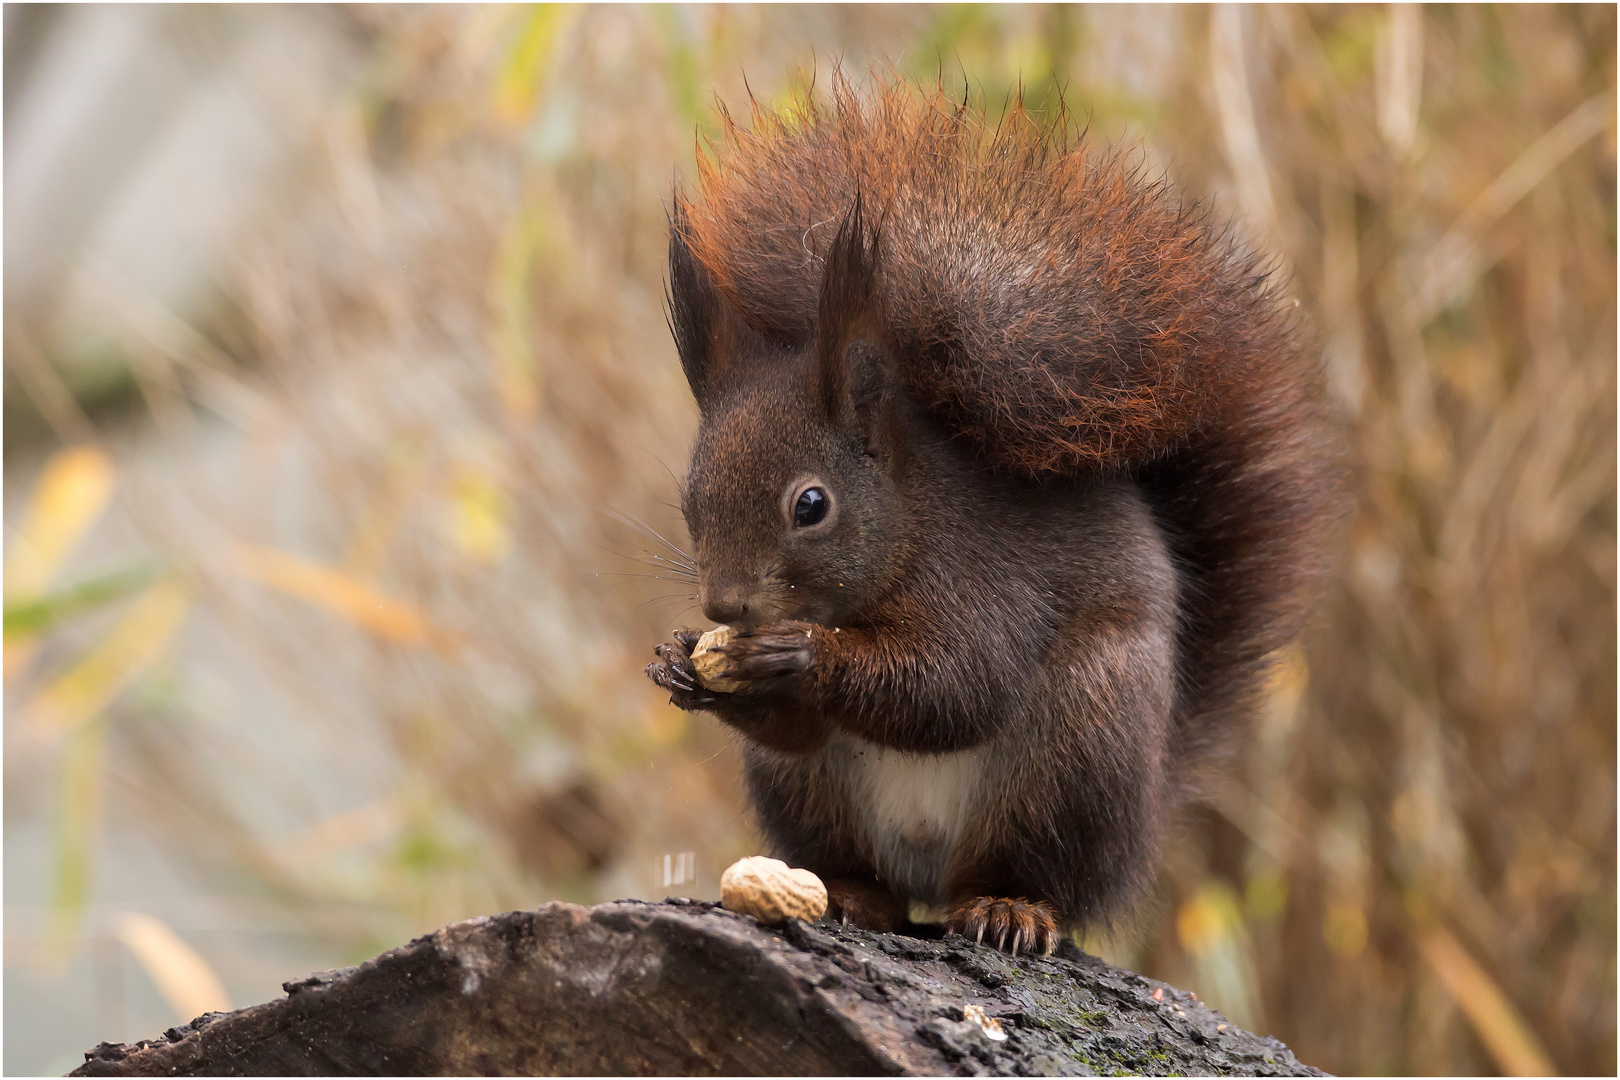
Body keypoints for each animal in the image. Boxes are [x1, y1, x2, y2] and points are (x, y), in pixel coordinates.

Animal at [644, 76, 1341, 952]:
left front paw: (801, 654)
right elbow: (805, 725)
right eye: (689, 497)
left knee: (1031, 871)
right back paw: (851, 894)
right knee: (853, 854)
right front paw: (681, 663)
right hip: (806, 795)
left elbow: (958, 684)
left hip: (1081, 746)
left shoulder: (982, 580)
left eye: (811, 504)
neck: (905, 529)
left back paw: (1010, 908)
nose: (725, 607)